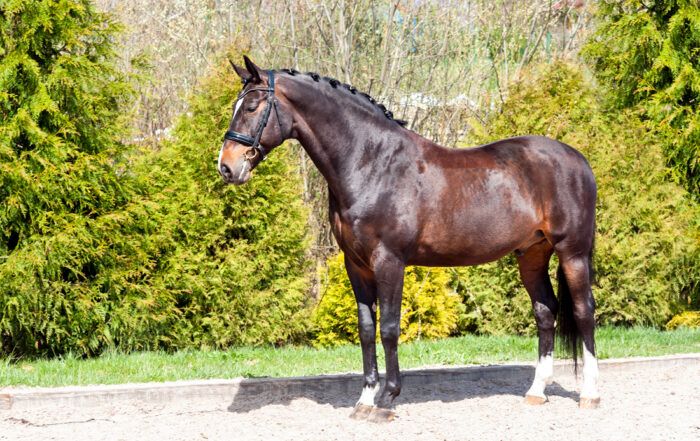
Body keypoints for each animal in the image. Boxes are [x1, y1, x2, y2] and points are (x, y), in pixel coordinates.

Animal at [217, 56, 599, 421]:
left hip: (572, 252)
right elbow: (366, 329)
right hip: (532, 254)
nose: (226, 167)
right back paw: (537, 392)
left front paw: (387, 400)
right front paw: (364, 401)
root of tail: (578, 158)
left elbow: (388, 327)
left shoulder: (390, 261)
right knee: (545, 312)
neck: (371, 163)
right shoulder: (356, 265)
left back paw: (590, 394)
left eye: (251, 107)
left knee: (584, 311)